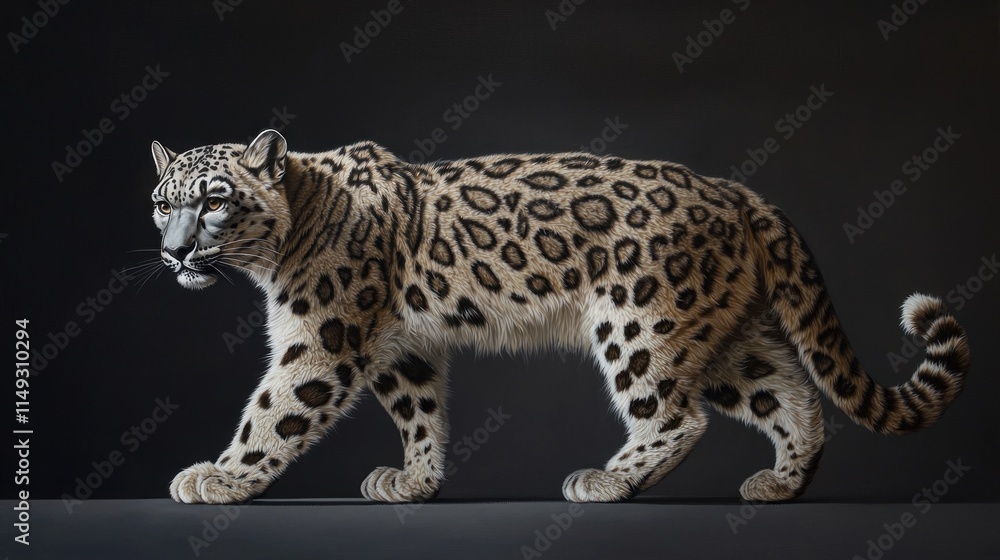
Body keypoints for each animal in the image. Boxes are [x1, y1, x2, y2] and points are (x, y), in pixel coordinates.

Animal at [150, 129, 969, 504]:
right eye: (162, 203)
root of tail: (737, 192)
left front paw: (217, 478)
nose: (174, 250)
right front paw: (415, 480)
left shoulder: (323, 338)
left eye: (215, 198)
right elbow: (419, 410)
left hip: (643, 323)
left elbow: (272, 410)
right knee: (794, 397)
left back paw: (604, 480)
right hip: (727, 339)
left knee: (679, 417)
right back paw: (781, 484)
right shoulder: (405, 345)